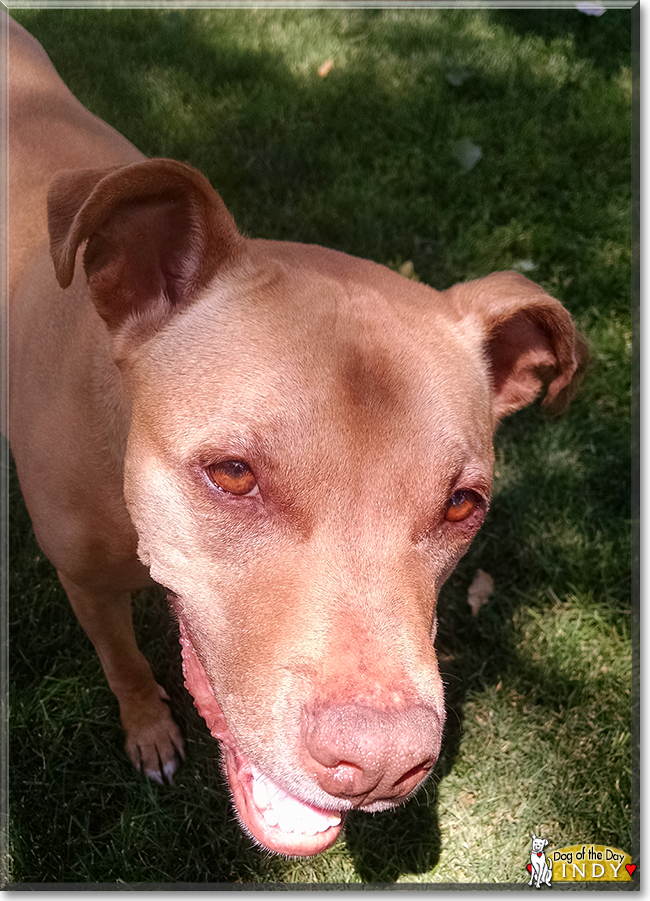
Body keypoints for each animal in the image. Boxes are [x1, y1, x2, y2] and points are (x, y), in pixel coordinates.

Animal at [3, 12, 584, 856]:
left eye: (463, 505)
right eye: (233, 474)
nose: (382, 764)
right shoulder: (84, 581)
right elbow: (124, 662)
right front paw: (148, 728)